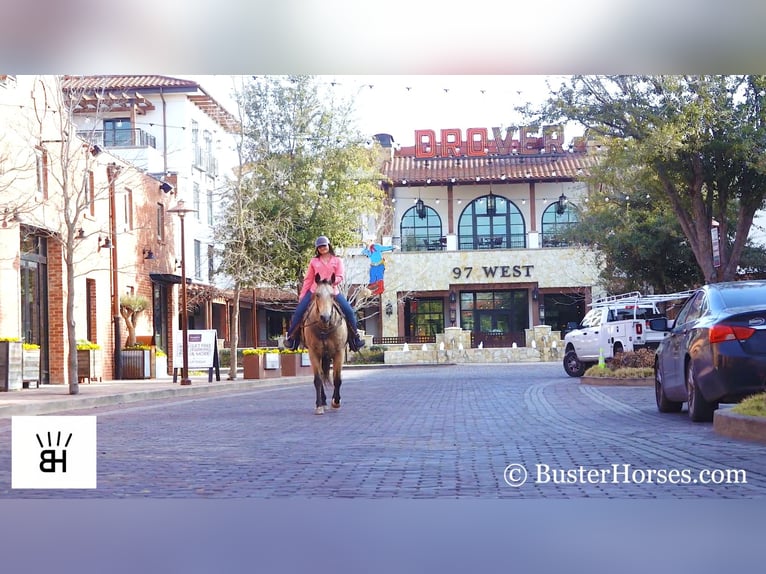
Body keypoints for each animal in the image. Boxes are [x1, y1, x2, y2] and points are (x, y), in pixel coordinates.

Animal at [300, 276, 352, 416]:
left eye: (332, 295)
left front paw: (336, 402)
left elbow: (337, 379)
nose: (325, 317)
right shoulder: (313, 353)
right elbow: (318, 380)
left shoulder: (339, 352)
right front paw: (319, 406)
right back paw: (323, 402)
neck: (324, 327)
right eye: (317, 295)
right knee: (322, 376)